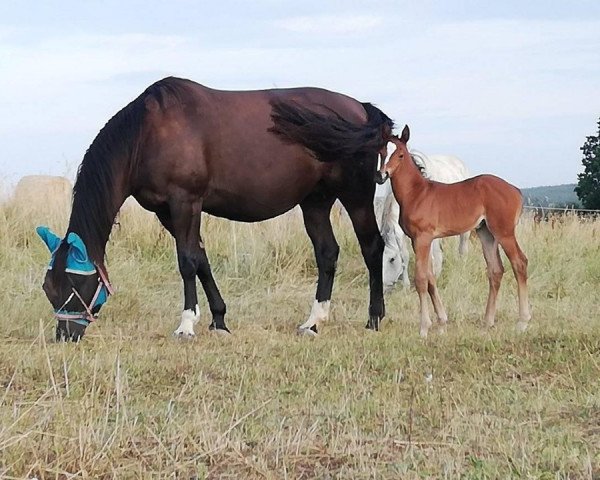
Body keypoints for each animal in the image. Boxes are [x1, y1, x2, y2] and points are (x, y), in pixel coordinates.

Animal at [36, 77, 394, 342]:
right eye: (48, 288)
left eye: (74, 285)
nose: (65, 335)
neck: (147, 134)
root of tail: (361, 110)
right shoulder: (168, 212)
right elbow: (201, 259)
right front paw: (219, 320)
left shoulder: (185, 202)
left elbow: (186, 262)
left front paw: (186, 325)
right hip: (315, 202)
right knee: (327, 253)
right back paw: (314, 321)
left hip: (356, 197)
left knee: (372, 248)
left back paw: (374, 318)